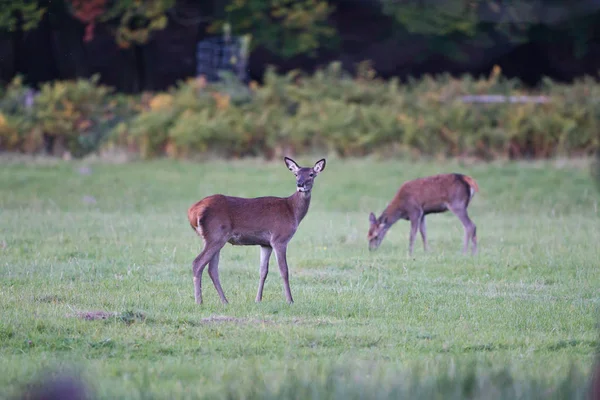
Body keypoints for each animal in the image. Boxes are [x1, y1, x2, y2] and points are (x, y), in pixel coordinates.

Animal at [190, 156, 326, 304]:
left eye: (311, 174)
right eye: (296, 174)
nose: (300, 184)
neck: (292, 211)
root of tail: (193, 212)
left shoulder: (265, 244)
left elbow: (263, 271)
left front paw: (258, 299)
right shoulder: (279, 238)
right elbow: (284, 270)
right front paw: (290, 300)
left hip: (213, 238)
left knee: (212, 269)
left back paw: (225, 301)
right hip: (216, 235)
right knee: (197, 263)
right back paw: (199, 302)